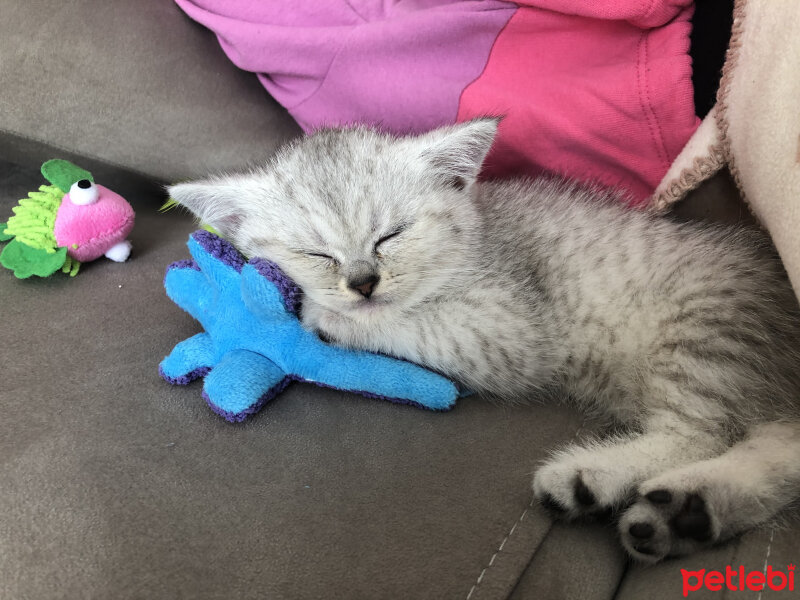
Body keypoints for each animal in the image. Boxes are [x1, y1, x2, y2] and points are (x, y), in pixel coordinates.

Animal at [170, 118, 800, 564]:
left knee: (700, 432)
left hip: (706, 329)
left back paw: (597, 480)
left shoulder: (511, 327)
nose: (362, 282)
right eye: (316, 252)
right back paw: (683, 513)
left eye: (391, 235)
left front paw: (327, 315)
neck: (478, 236)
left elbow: (415, 323)